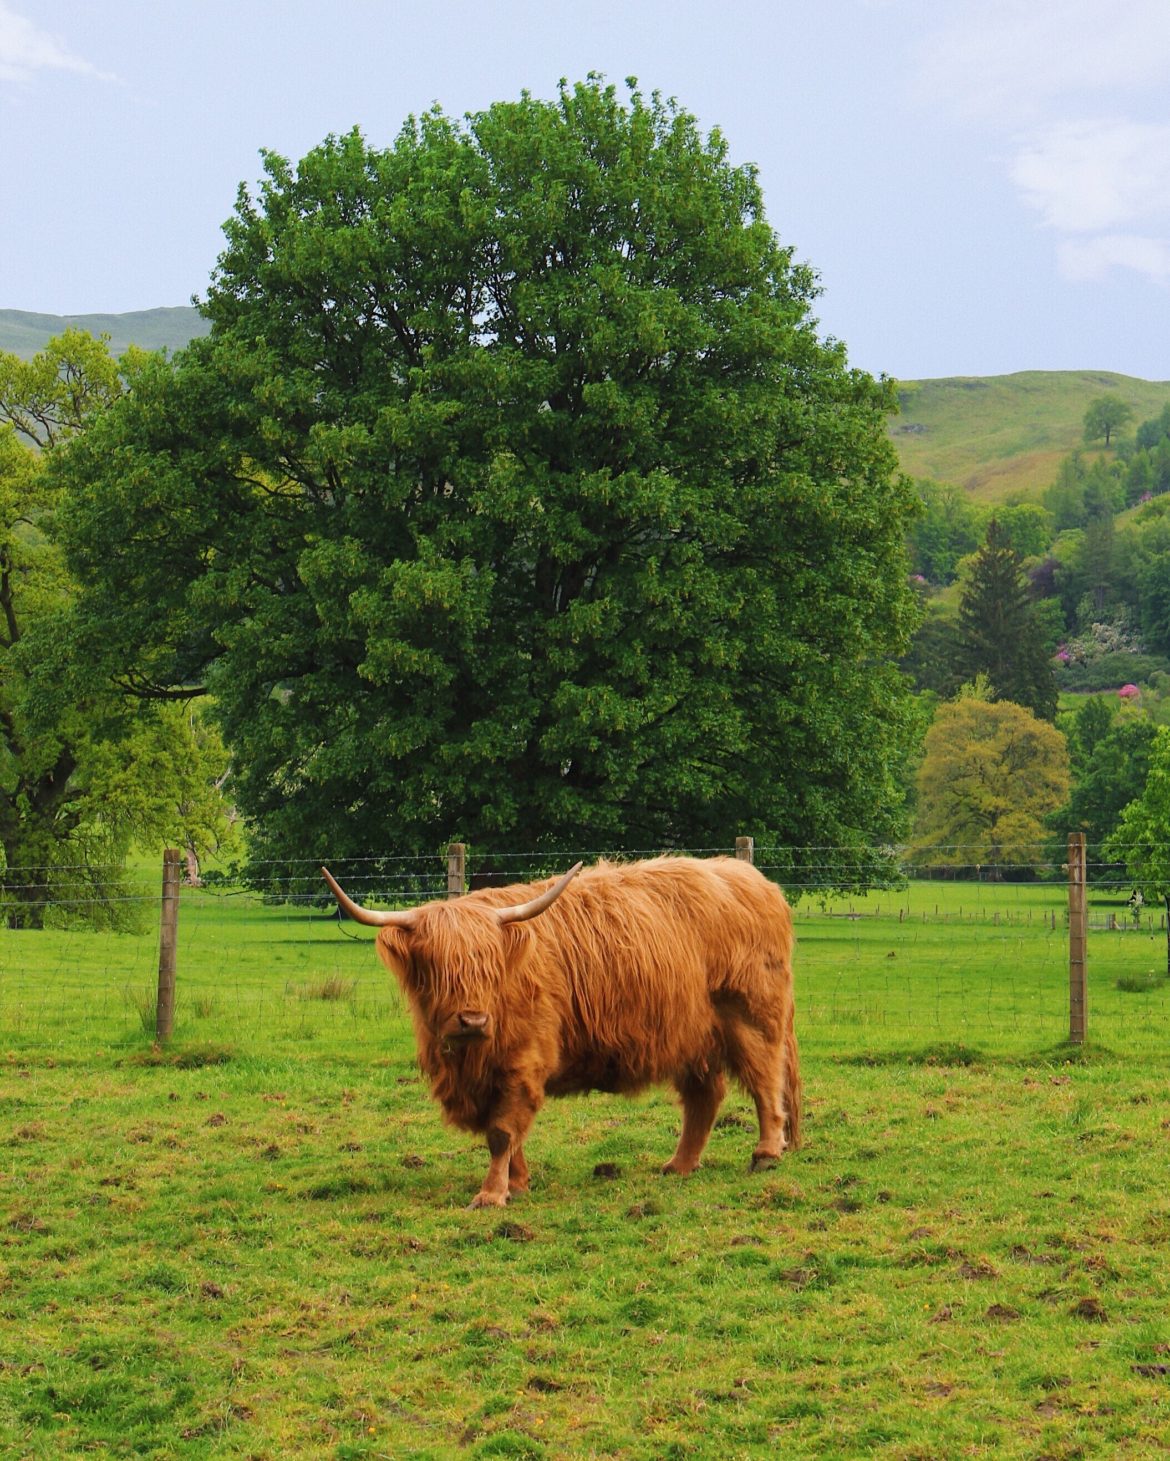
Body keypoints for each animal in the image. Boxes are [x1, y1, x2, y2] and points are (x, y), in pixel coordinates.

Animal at [319, 853, 800, 1209]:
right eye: (439, 968)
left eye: (488, 966)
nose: (472, 1020)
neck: (470, 1057)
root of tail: (753, 879)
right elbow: (505, 1132)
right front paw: (517, 1183)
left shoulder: (523, 1061)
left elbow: (502, 1131)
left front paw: (491, 1195)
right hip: (692, 1032)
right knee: (705, 1096)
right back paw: (679, 1165)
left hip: (750, 1017)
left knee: (765, 1080)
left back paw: (766, 1152)